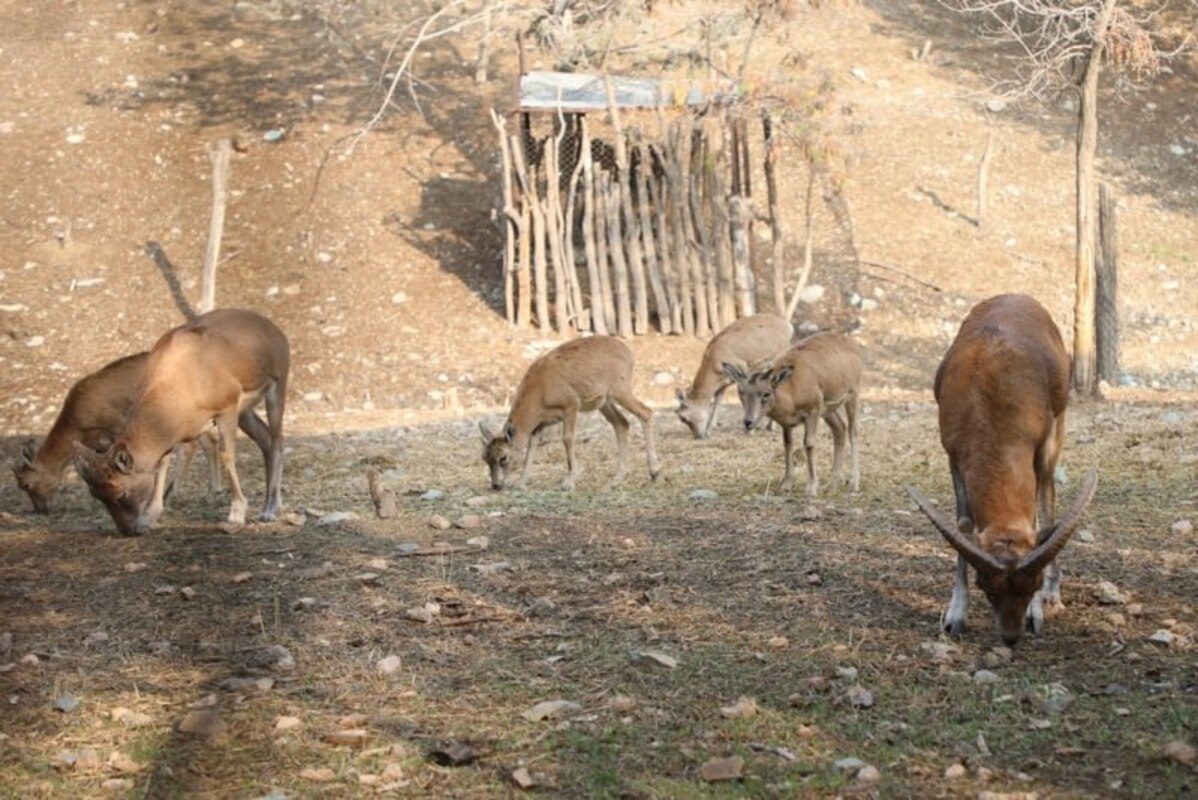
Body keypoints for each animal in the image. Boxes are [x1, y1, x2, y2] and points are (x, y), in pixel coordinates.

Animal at [15, 354, 222, 512]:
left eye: (25, 484)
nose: (41, 509)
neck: (78, 425)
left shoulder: (119, 425)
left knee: (192, 446)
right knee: (209, 442)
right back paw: (213, 493)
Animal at [75, 308, 289, 534]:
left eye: (121, 493)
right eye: (97, 495)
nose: (128, 531)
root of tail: (272, 328)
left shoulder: (227, 408)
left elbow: (227, 454)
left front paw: (236, 516)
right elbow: (162, 462)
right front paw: (149, 518)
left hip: (277, 387)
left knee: (278, 441)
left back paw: (270, 510)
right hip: (245, 413)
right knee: (265, 439)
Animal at [479, 335, 666, 491]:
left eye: (503, 457)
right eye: (485, 458)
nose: (496, 485)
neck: (540, 390)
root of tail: (629, 353)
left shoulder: (571, 405)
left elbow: (567, 439)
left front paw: (568, 482)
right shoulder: (540, 423)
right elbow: (532, 446)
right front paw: (521, 482)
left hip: (620, 389)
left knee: (646, 412)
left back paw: (654, 471)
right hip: (605, 402)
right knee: (622, 424)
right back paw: (618, 478)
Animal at [718, 330, 862, 493]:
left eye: (766, 393)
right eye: (741, 392)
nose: (748, 422)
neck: (792, 388)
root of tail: (853, 345)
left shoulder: (813, 410)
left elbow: (809, 443)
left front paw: (811, 487)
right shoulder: (787, 423)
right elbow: (787, 445)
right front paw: (786, 483)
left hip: (852, 395)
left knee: (853, 432)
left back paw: (854, 484)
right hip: (828, 411)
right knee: (839, 429)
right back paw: (832, 483)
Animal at [905, 293, 1097, 641]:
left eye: (1031, 584)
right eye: (988, 588)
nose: (1011, 635)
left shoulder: (1040, 443)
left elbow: (1038, 514)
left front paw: (1037, 611)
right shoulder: (953, 453)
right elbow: (964, 524)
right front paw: (955, 618)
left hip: (1059, 425)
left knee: (1048, 496)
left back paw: (1054, 596)